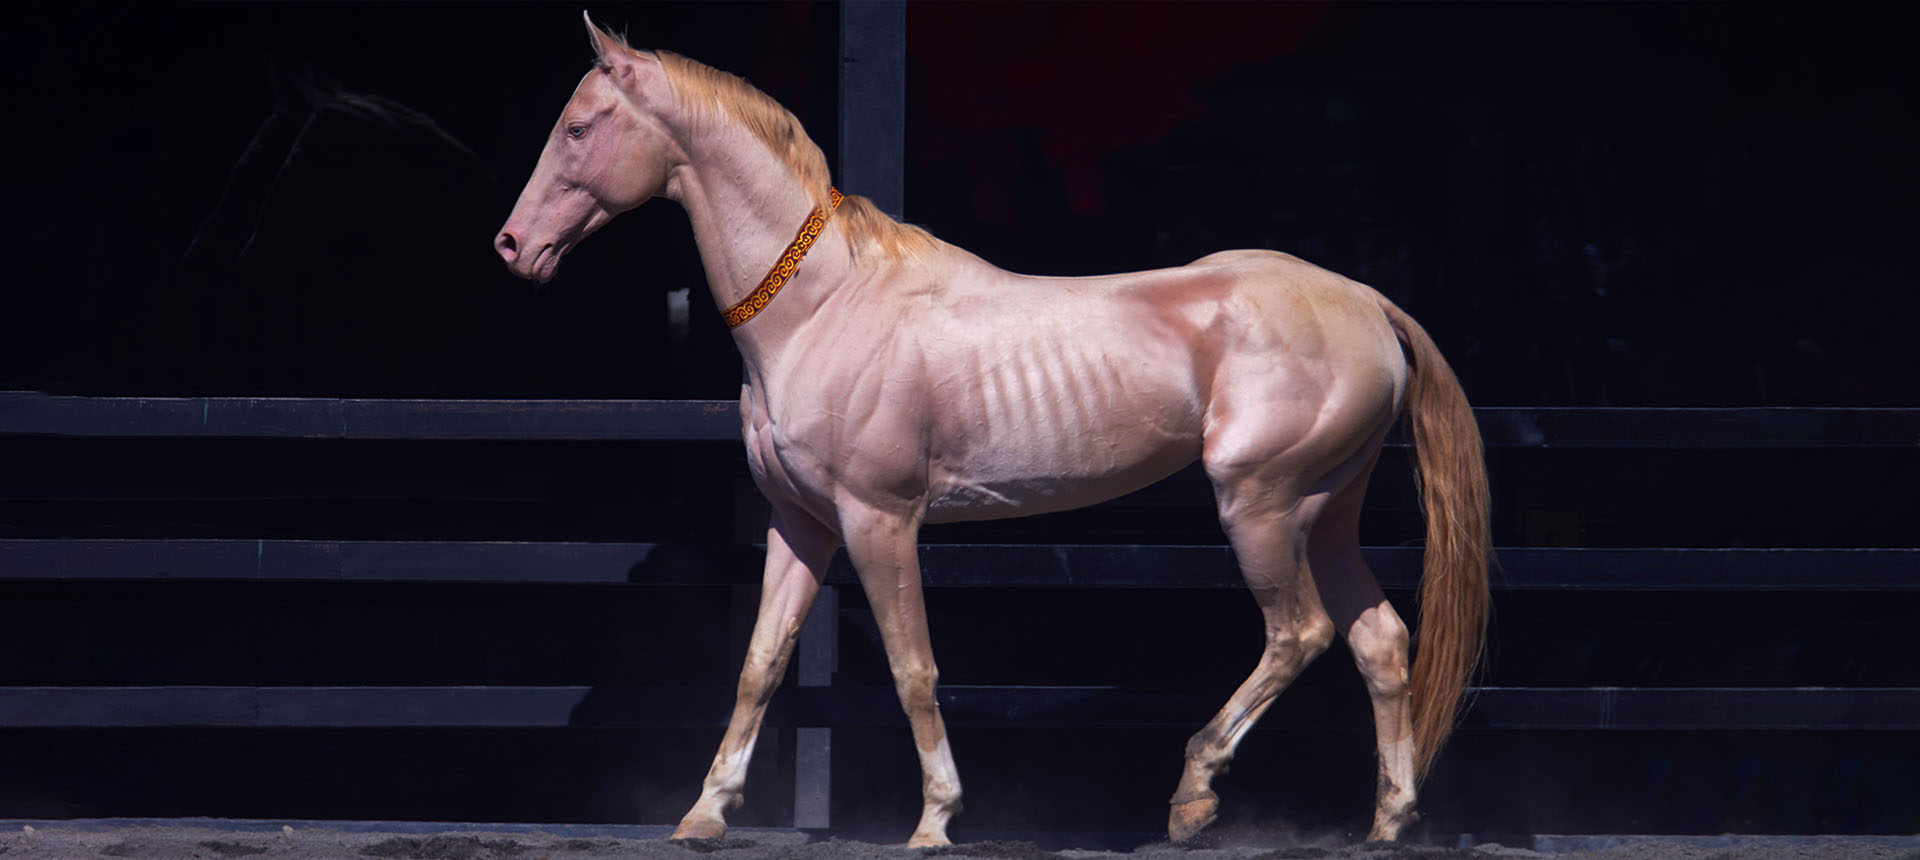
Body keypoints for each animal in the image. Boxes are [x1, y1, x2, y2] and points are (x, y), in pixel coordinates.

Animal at [495, 14, 1489, 848]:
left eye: (578, 128)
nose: (512, 246)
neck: (823, 310)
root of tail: (1365, 300)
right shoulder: (801, 525)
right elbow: (761, 664)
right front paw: (705, 814)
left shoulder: (879, 522)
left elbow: (912, 668)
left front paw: (936, 820)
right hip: (1326, 513)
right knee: (1378, 641)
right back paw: (1388, 821)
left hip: (1260, 506)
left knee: (1301, 634)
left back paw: (1194, 796)